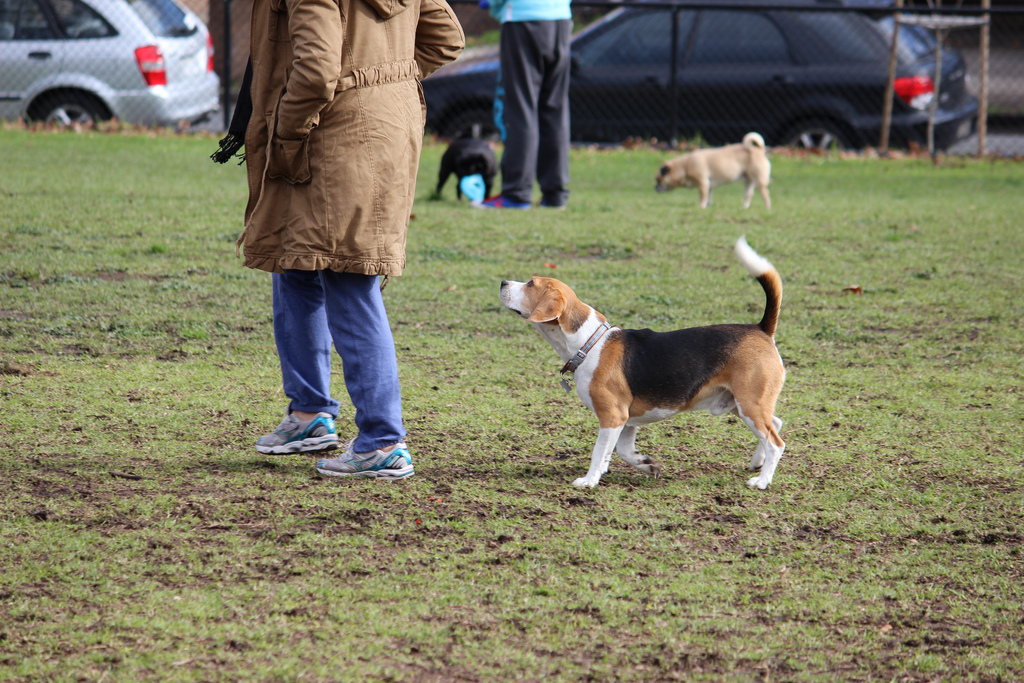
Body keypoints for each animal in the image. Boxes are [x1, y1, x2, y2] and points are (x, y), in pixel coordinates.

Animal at [499, 237, 786, 489]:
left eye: (530, 283)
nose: (502, 282)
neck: (588, 343)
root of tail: (761, 328)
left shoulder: (612, 416)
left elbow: (598, 452)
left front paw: (589, 480)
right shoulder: (626, 421)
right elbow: (624, 452)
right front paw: (647, 464)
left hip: (749, 403)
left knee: (776, 443)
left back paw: (762, 481)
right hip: (740, 404)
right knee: (776, 424)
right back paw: (758, 463)